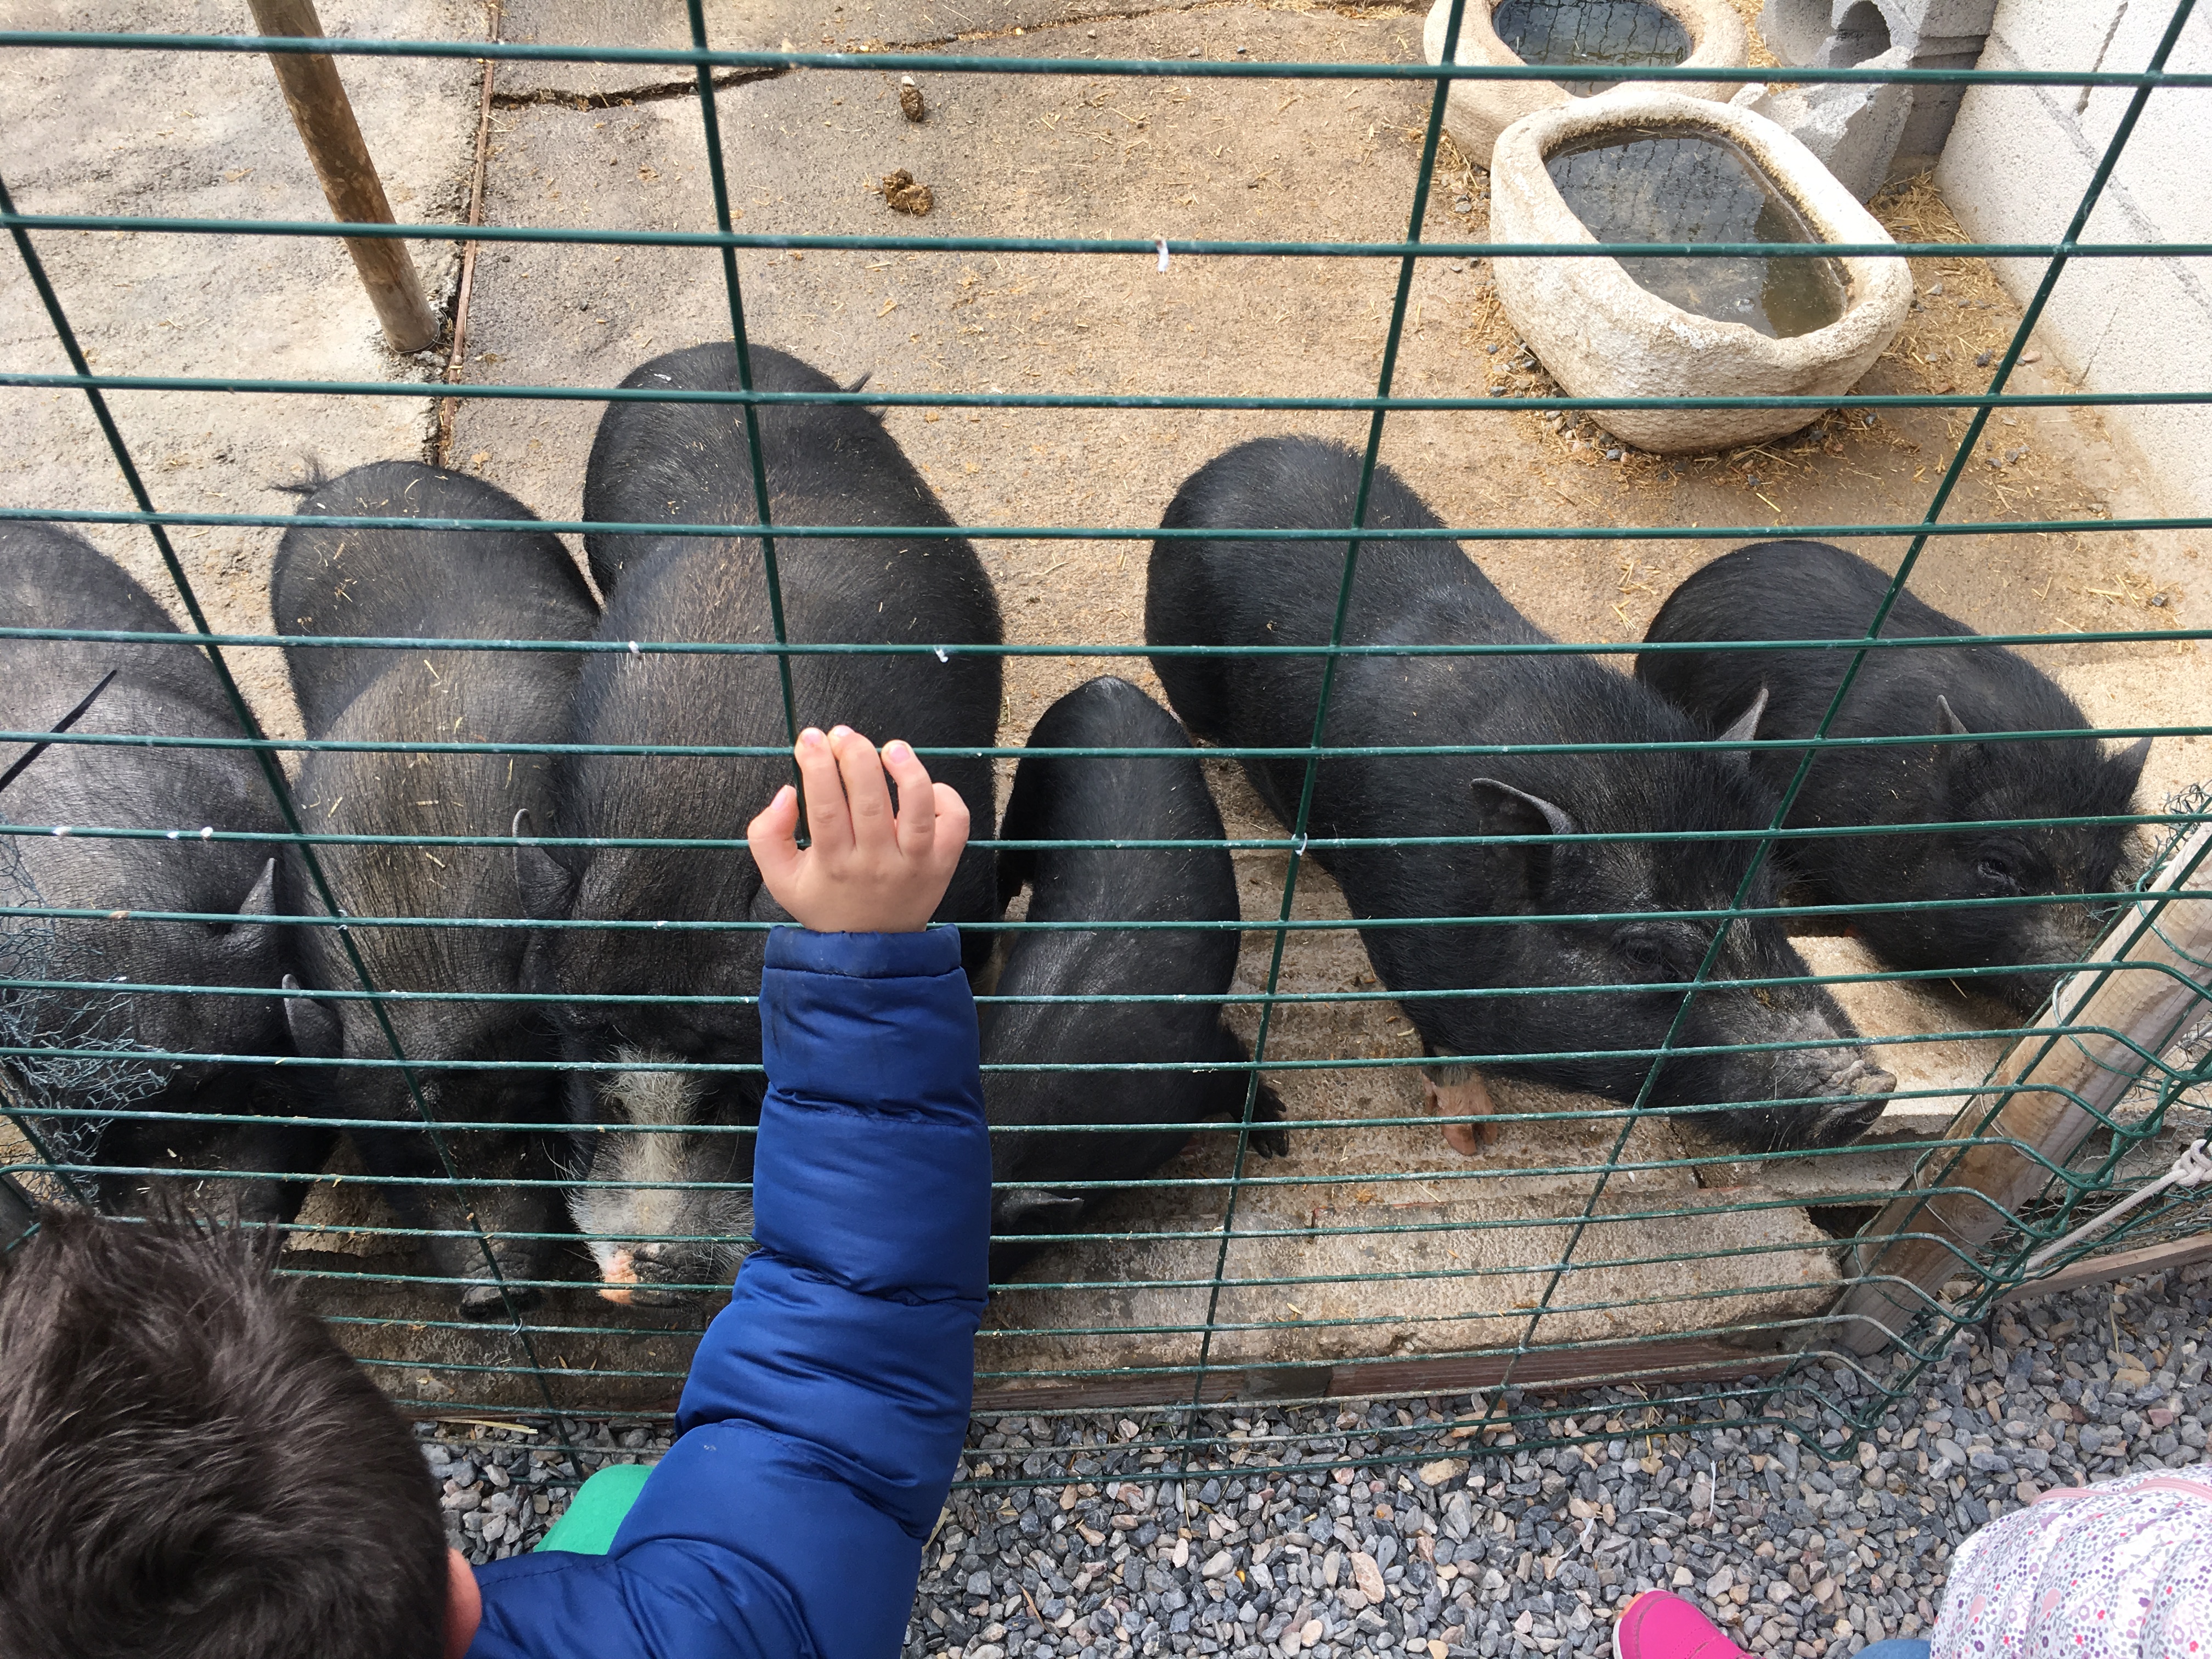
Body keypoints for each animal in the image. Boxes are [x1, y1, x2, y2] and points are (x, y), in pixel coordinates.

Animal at [1145, 437, 1891, 1154]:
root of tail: (1239, 455)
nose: (1870, 1089)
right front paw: (1472, 1139)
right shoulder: (1405, 947)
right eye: (1645, 953)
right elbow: (1443, 1044)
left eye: (1769, 902)